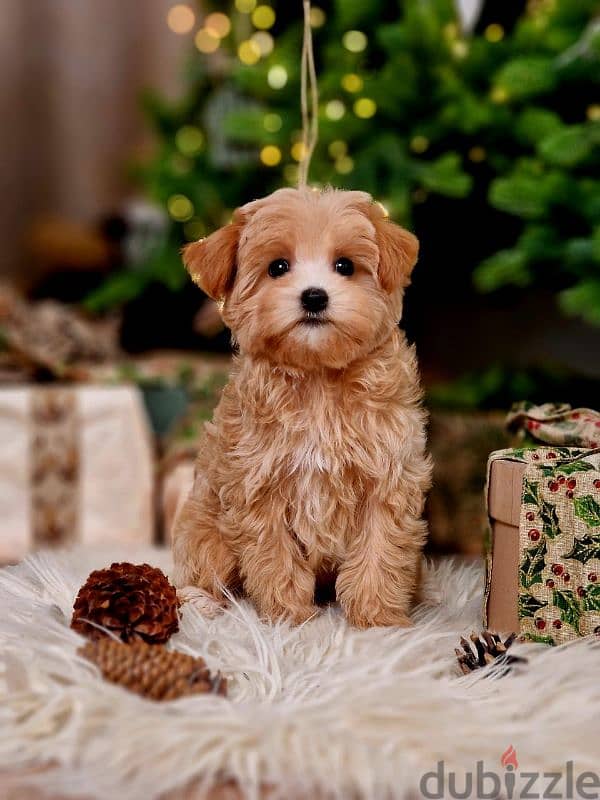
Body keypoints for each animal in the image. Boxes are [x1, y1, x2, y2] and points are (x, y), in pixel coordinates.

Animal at [172, 189, 432, 632]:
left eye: (345, 266)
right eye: (278, 267)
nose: (314, 295)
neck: (317, 379)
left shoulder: (388, 478)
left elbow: (380, 551)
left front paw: (378, 619)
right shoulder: (259, 486)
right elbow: (274, 555)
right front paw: (288, 618)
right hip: (206, 533)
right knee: (205, 573)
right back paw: (202, 602)